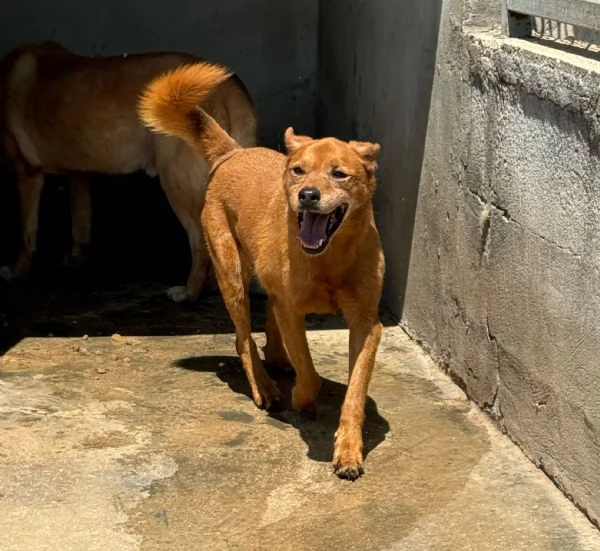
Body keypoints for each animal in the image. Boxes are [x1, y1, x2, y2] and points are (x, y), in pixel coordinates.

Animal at [0, 42, 255, 302]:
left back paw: (189, 293)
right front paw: (77, 257)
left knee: (200, 242)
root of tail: (228, 87)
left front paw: (17, 270)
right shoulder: (78, 174)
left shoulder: (27, 172)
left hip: (176, 181)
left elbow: (26, 231)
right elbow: (80, 222)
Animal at [139, 62, 384, 480]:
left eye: (339, 174)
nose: (307, 195)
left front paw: (349, 450)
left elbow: (355, 392)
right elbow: (310, 371)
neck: (329, 259)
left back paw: (279, 361)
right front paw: (302, 396)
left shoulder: (367, 323)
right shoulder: (293, 310)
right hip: (231, 276)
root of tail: (233, 153)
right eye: (299, 170)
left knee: (268, 316)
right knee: (243, 338)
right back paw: (265, 386)